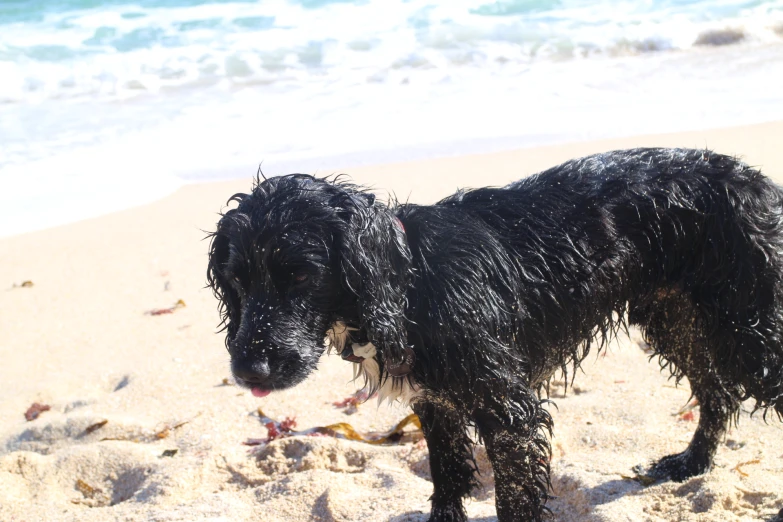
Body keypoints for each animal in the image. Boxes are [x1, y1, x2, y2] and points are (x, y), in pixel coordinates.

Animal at [208, 147, 783, 520]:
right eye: (237, 279)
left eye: (301, 275)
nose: (249, 370)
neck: (409, 283)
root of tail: (759, 183)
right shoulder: (437, 403)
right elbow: (447, 480)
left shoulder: (510, 412)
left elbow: (512, 497)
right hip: (673, 317)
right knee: (718, 392)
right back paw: (690, 463)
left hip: (747, 328)